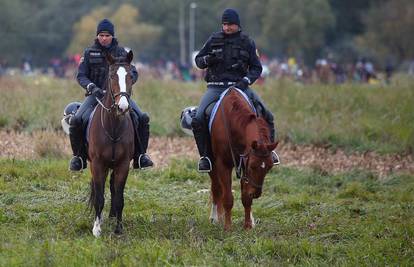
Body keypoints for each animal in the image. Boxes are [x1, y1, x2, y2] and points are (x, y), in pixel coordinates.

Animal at [88, 50, 135, 237]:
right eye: (111, 76)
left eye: (131, 75)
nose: (122, 107)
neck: (113, 126)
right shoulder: (97, 164)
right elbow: (99, 197)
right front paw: (96, 229)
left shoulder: (123, 165)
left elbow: (119, 197)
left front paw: (119, 228)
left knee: (113, 190)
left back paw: (112, 216)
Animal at [209, 88, 276, 230]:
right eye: (252, 166)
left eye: (269, 167)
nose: (256, 194)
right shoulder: (223, 164)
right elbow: (227, 197)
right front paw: (228, 227)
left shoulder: (244, 165)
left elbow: (246, 198)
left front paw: (248, 226)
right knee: (216, 188)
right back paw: (215, 218)